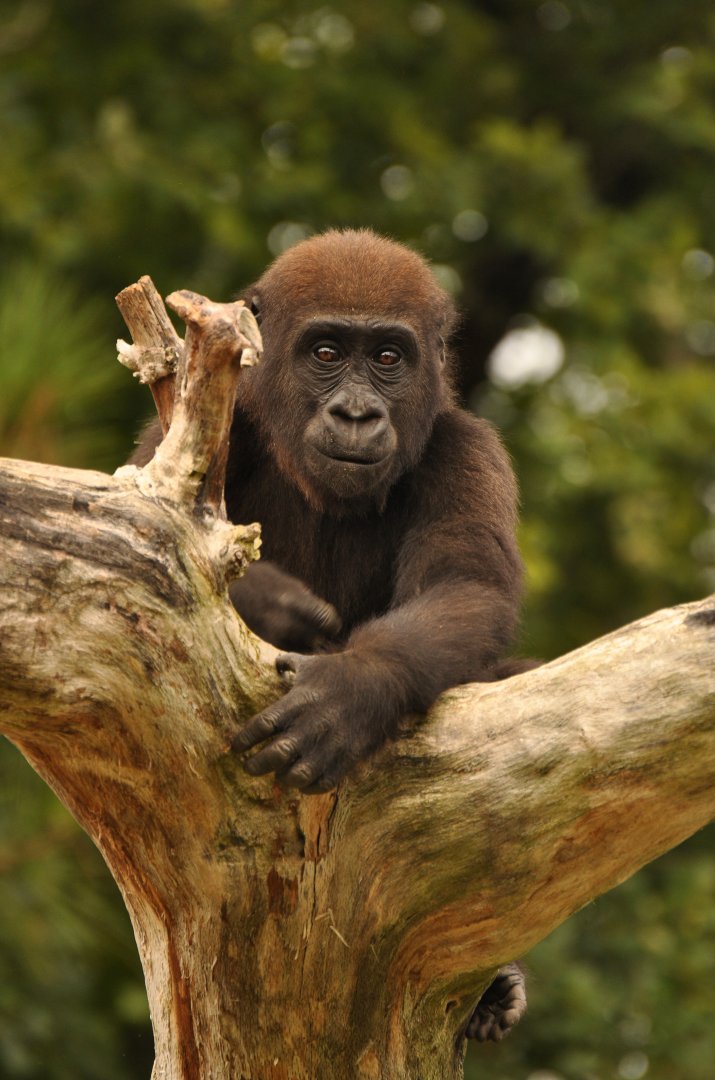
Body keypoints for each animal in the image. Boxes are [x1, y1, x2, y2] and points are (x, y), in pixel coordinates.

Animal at [130, 228, 527, 1041]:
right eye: (324, 352)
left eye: (387, 358)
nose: (354, 414)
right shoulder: (200, 427)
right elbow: (127, 525)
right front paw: (277, 607)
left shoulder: (464, 445)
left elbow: (464, 590)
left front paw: (351, 689)